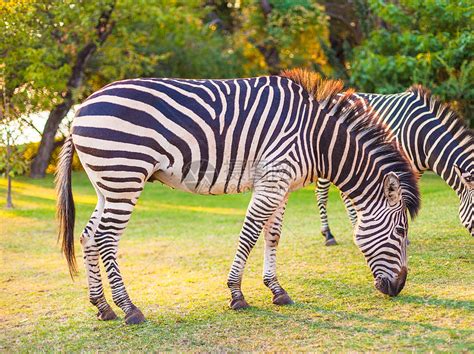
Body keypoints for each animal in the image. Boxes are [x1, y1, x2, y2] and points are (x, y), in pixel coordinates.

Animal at [55, 68, 418, 324]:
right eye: (401, 231)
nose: (399, 287)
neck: (316, 139)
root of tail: (81, 110)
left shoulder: (282, 183)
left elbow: (272, 235)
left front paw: (277, 290)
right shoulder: (273, 178)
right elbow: (249, 234)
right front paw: (237, 294)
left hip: (108, 184)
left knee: (88, 236)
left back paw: (103, 307)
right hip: (124, 175)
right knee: (105, 238)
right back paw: (129, 308)